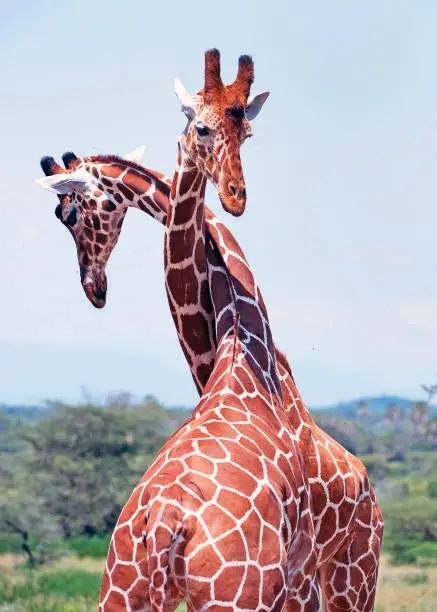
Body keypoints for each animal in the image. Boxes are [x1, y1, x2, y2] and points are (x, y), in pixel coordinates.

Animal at [35, 50, 380, 608]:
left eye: (247, 131)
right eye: (200, 127)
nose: (95, 288)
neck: (242, 336)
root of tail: (164, 524)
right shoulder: (299, 580)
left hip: (125, 591)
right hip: (298, 584)